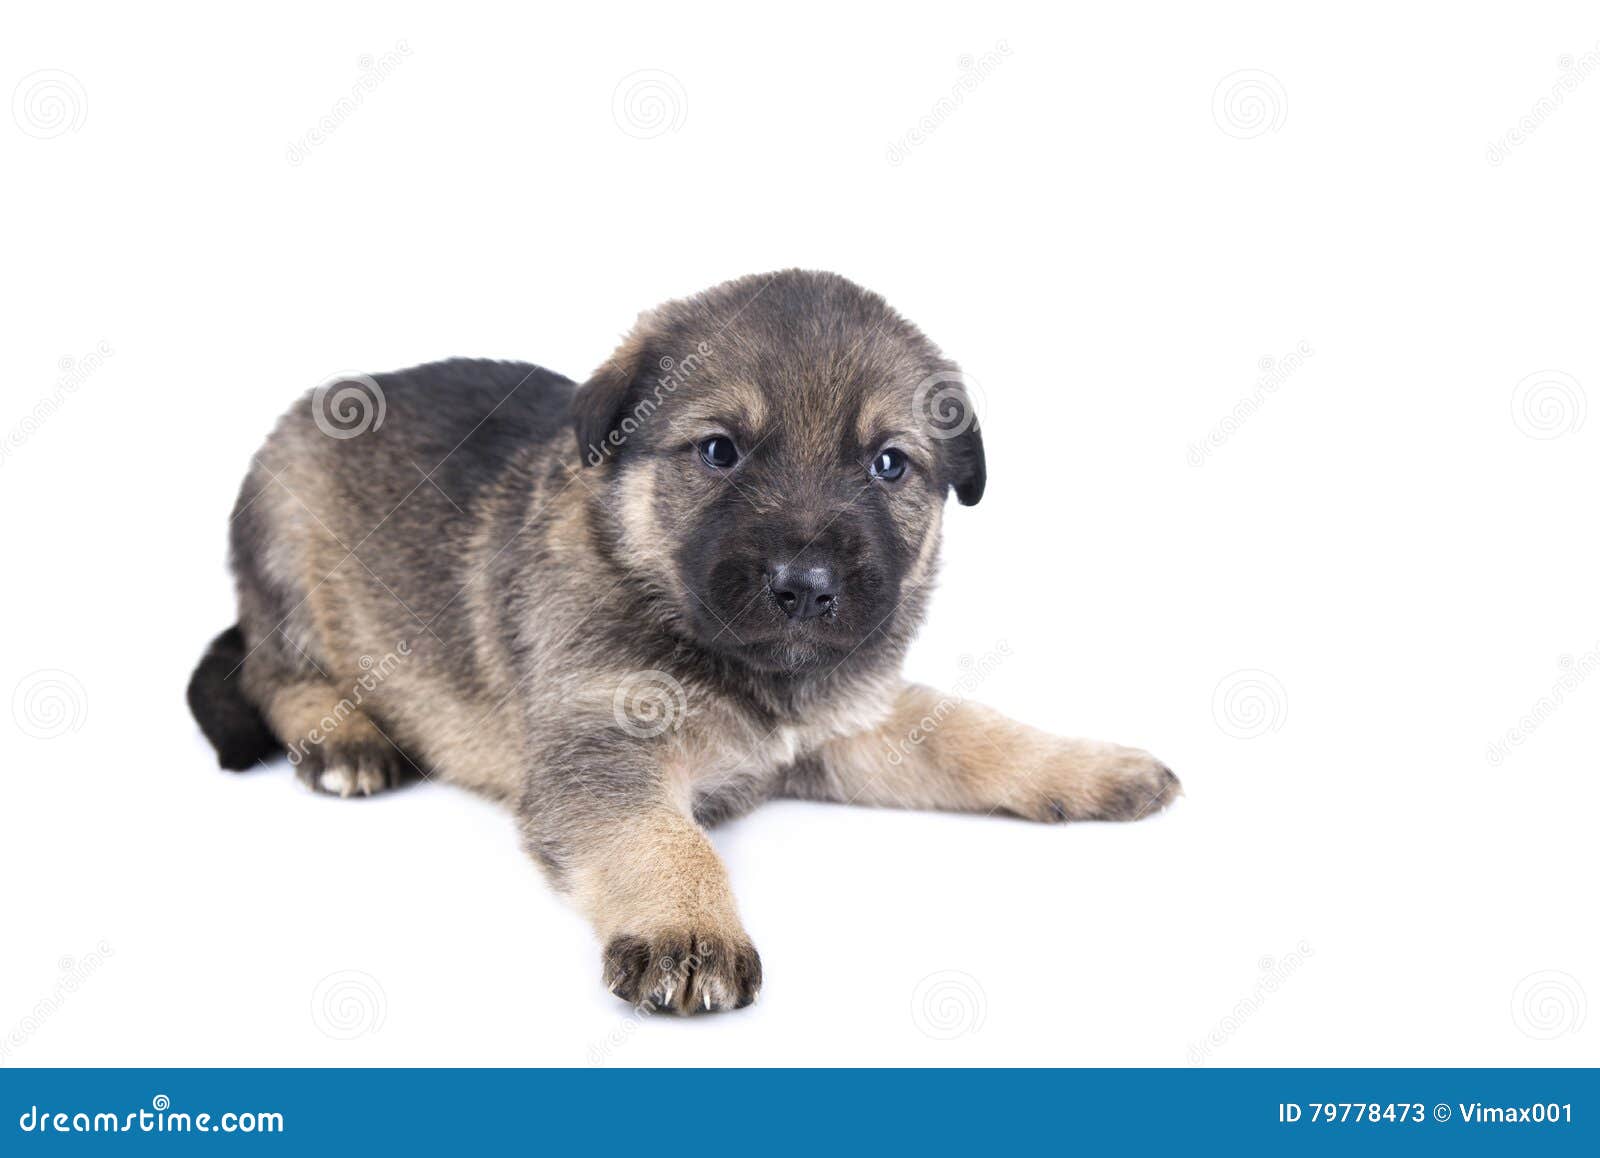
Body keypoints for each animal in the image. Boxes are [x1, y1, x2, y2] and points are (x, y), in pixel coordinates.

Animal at [193, 271, 1184, 1010]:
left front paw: (1091, 767)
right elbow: (660, 838)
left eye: (888, 464)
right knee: (274, 670)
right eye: (719, 451)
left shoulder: (848, 724)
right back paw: (345, 737)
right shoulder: (605, 744)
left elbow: (974, 732)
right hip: (285, 539)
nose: (806, 587)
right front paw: (690, 928)